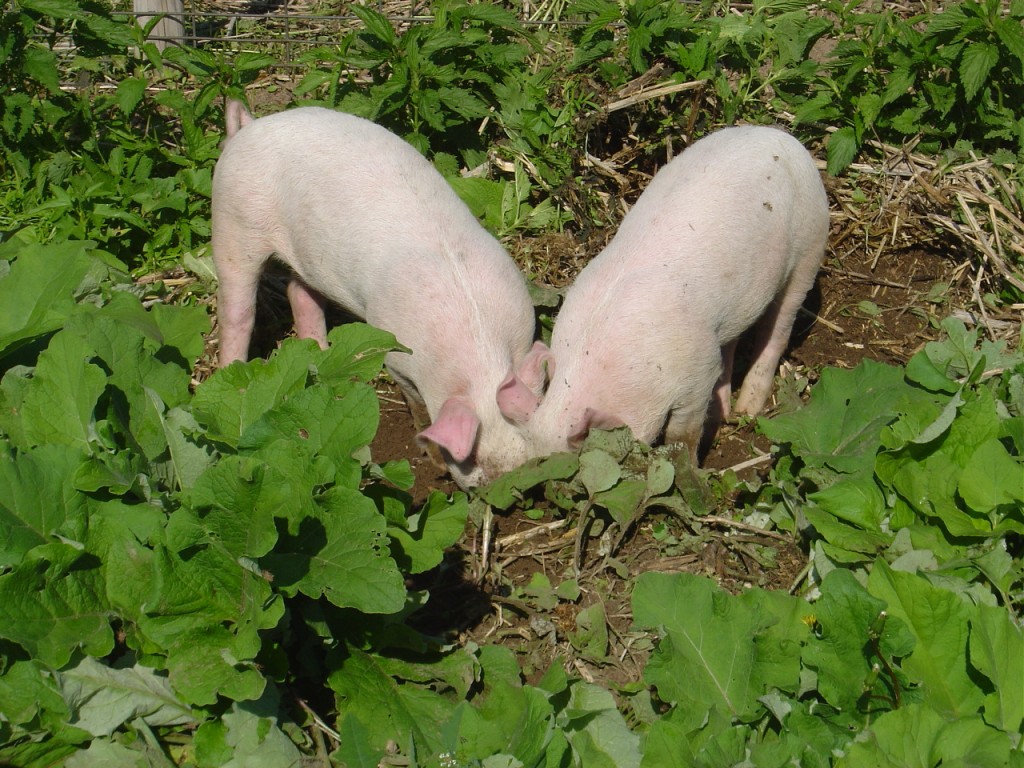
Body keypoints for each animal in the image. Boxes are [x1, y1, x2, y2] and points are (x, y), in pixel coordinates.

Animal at [211, 101, 538, 488]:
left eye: (524, 428)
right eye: (469, 455)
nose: (509, 485)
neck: (478, 347)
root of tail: (248, 126)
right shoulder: (397, 354)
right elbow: (418, 406)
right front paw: (433, 462)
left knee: (299, 293)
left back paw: (324, 359)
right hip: (233, 223)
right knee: (236, 310)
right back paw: (233, 376)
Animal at [498, 125, 830, 460]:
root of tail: (781, 136)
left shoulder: (697, 372)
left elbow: (684, 433)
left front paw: (688, 461)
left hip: (811, 245)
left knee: (779, 327)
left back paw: (747, 409)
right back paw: (724, 411)